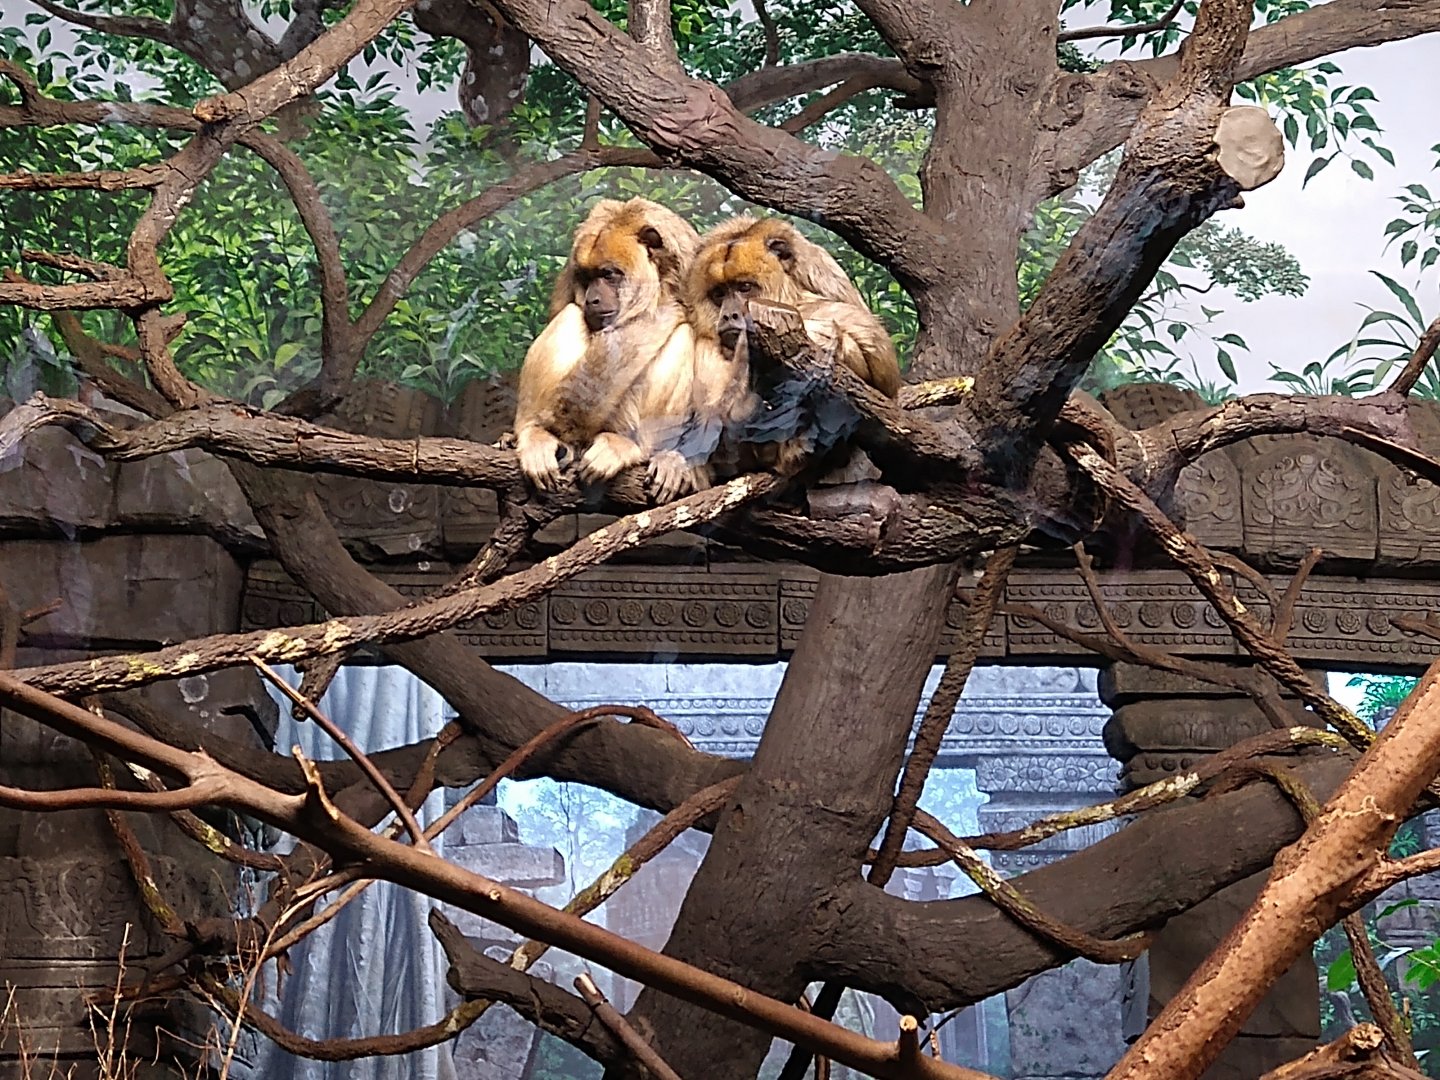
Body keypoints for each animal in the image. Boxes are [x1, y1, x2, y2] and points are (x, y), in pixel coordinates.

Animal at [512, 197, 707, 502]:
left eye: (608, 274)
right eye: (587, 277)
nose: (591, 299)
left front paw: (678, 463)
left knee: (684, 335)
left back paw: (633, 447)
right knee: (571, 315)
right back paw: (534, 433)